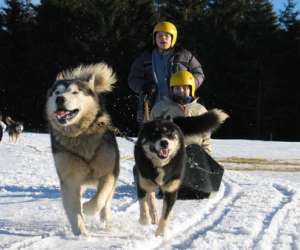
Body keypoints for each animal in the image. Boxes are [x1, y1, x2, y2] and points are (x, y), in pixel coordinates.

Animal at [45, 62, 119, 236]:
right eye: (57, 92)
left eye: (75, 92)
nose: (60, 99)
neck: (80, 135)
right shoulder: (70, 180)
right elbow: (74, 210)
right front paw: (81, 234)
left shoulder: (108, 174)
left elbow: (99, 199)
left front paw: (88, 208)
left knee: (106, 203)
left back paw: (106, 223)